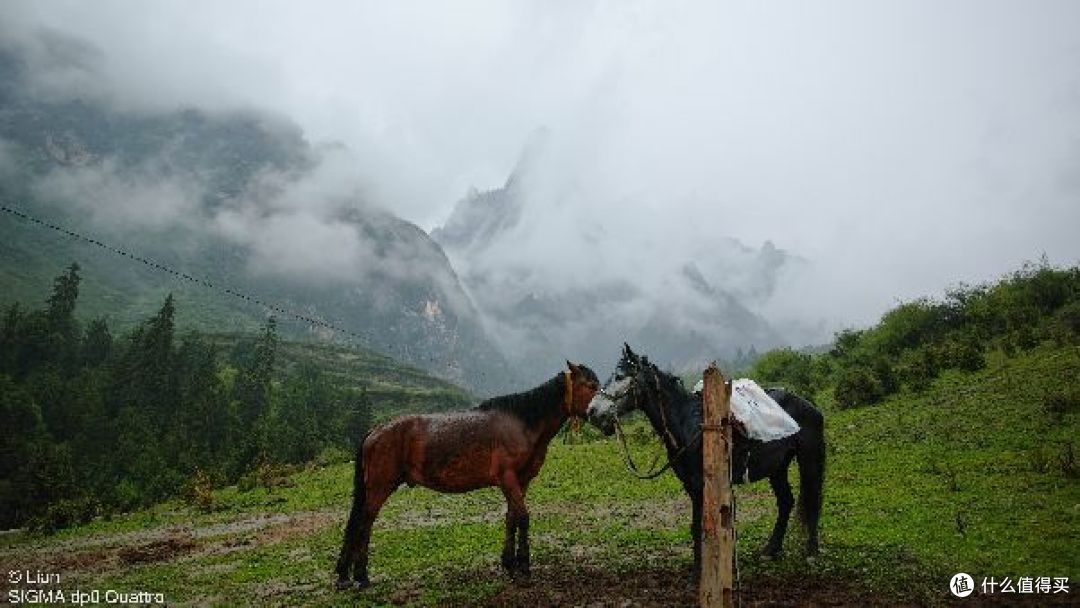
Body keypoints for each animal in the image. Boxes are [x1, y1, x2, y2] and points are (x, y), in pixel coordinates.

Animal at [332, 360, 600, 591]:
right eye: (590, 385)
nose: (602, 414)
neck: (521, 423)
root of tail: (375, 431)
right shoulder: (508, 478)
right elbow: (522, 518)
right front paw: (523, 567)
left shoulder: (520, 482)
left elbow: (511, 518)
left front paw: (509, 564)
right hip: (379, 488)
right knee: (364, 523)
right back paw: (361, 576)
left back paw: (346, 575)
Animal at [587, 345, 820, 583]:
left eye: (619, 376)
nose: (592, 411)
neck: (690, 424)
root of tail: (809, 405)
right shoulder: (691, 486)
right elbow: (695, 527)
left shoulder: (702, 485)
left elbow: (703, 527)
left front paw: (701, 575)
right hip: (778, 468)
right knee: (786, 502)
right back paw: (771, 550)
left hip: (809, 461)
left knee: (812, 501)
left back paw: (811, 552)